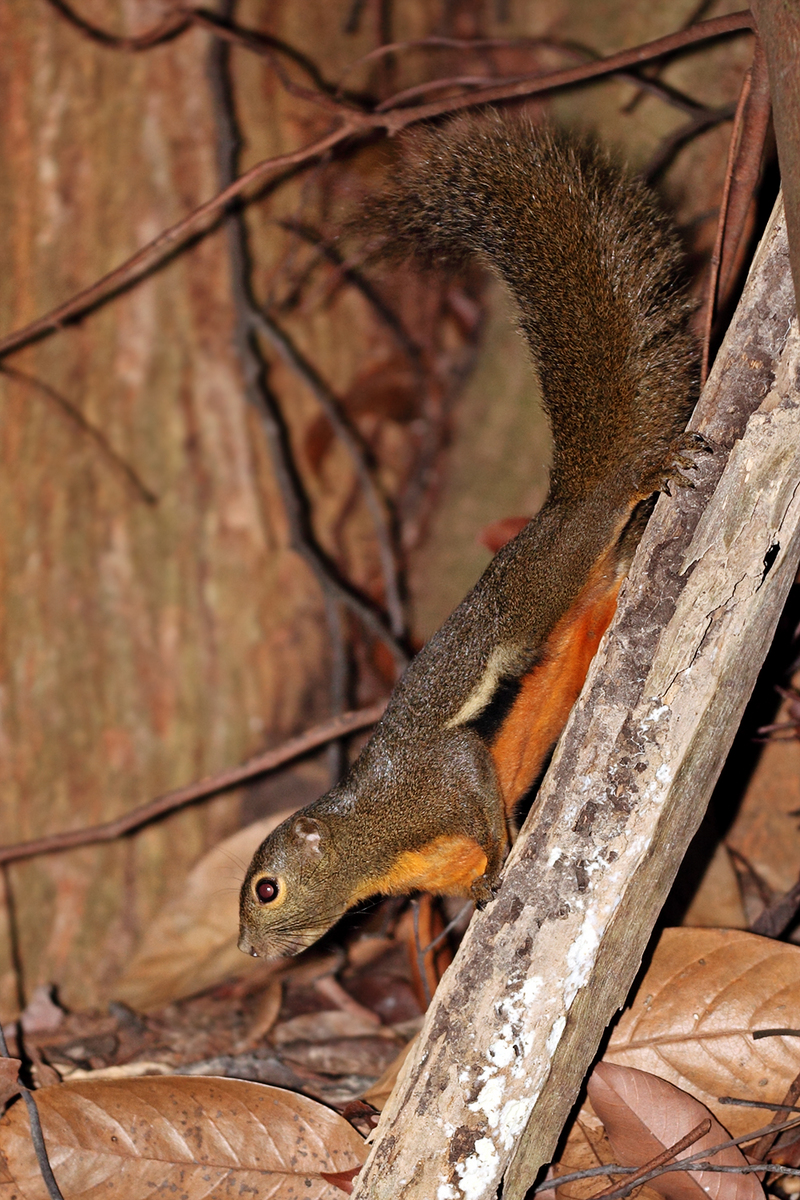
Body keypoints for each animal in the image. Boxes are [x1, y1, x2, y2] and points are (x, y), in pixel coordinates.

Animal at [239, 112, 700, 955]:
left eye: (267, 888)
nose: (251, 953)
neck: (374, 844)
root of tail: (564, 503)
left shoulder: (436, 781)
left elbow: (469, 778)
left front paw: (500, 850)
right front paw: (474, 898)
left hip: (550, 574)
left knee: (604, 516)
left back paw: (641, 478)